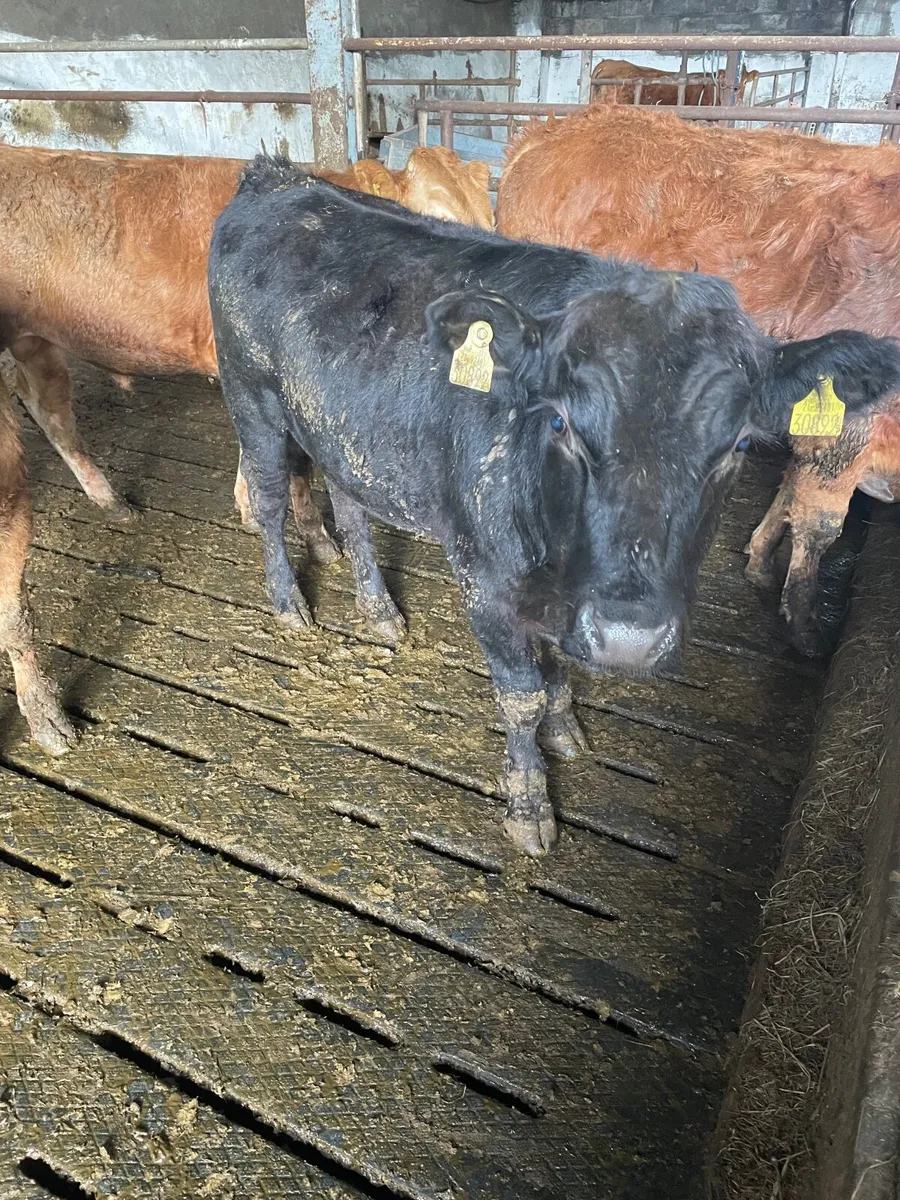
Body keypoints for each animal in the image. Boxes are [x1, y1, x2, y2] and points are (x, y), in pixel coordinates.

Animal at [496, 104, 900, 653]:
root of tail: (551, 130)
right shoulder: (847, 431)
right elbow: (818, 522)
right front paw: (804, 623)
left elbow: (789, 492)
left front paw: (760, 559)